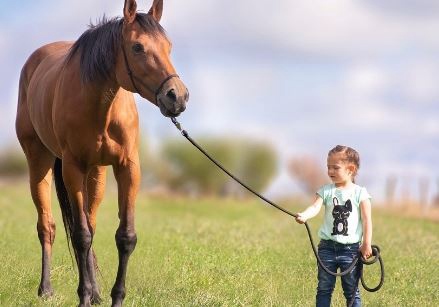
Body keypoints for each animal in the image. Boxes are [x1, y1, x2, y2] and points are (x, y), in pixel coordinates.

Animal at [14, 0, 187, 306]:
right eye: (137, 47)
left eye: (169, 46)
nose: (177, 96)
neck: (100, 107)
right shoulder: (72, 168)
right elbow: (81, 236)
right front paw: (82, 296)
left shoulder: (128, 167)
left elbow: (124, 236)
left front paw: (113, 296)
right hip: (39, 162)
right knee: (47, 226)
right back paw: (46, 289)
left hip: (96, 173)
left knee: (90, 225)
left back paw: (94, 292)